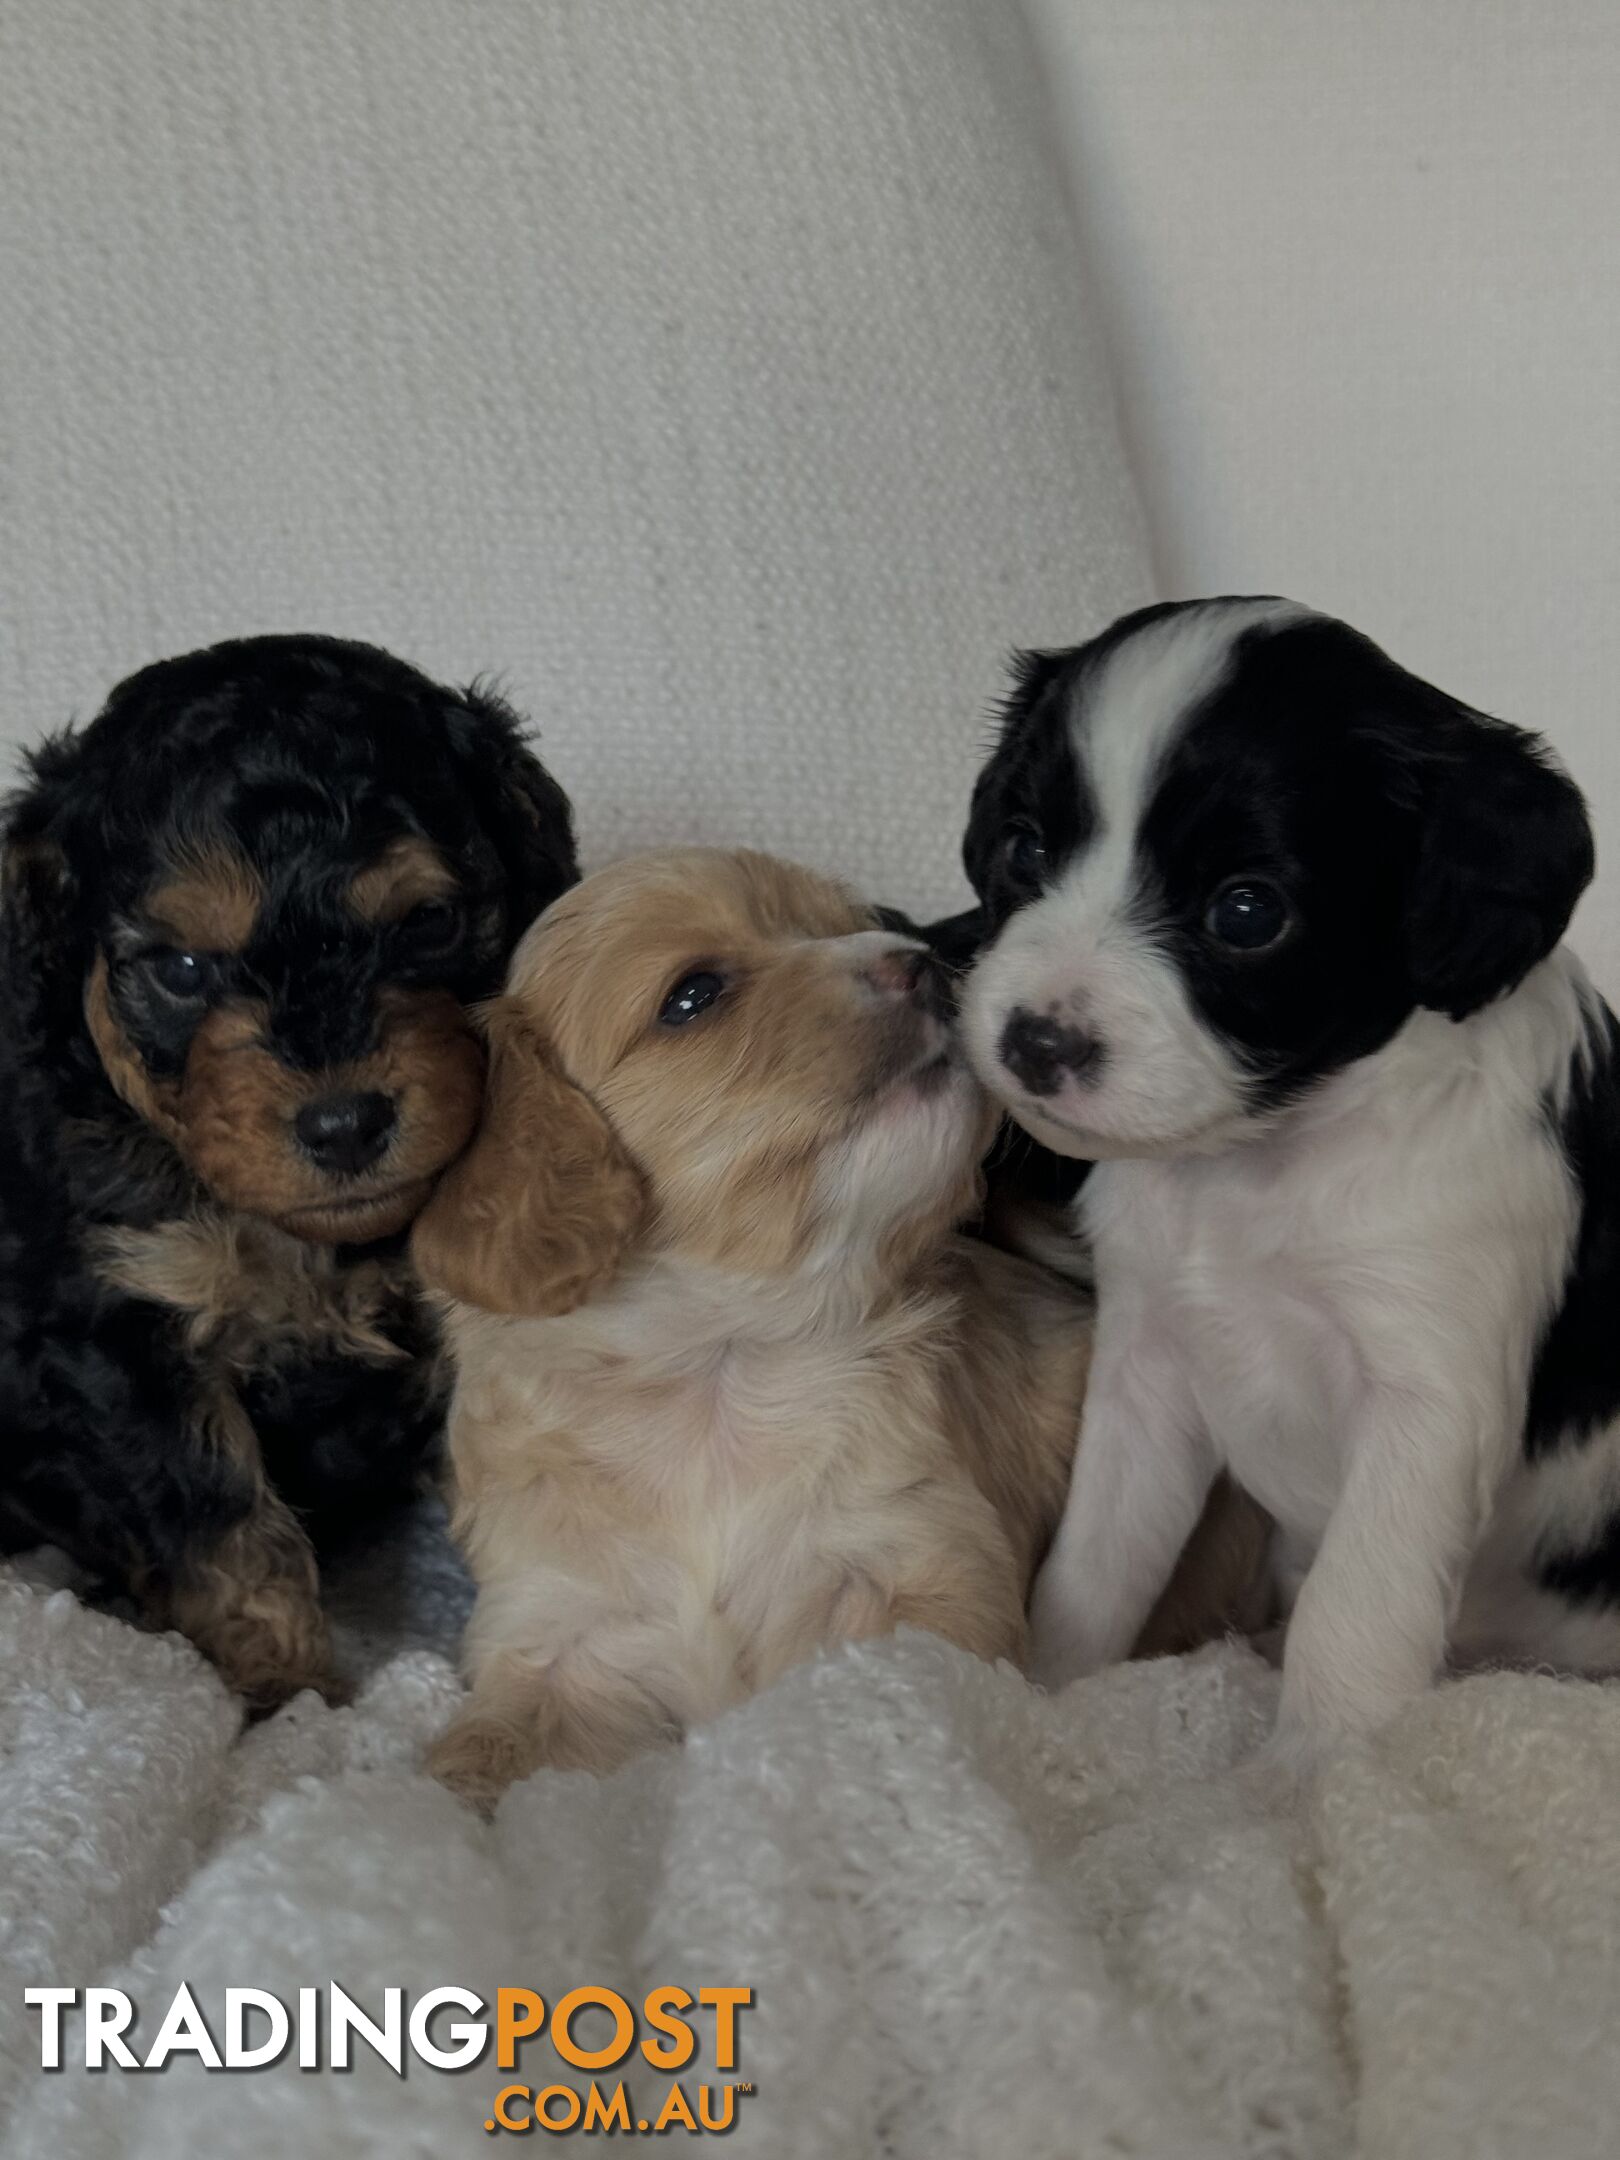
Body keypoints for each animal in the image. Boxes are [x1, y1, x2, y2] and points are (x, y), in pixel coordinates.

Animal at [0, 630, 583, 1702]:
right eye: (181, 969)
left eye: (426, 921)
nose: (344, 1122)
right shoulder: (119, 1337)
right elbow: (224, 1530)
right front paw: (292, 1693)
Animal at [959, 600, 1615, 1762]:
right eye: (1024, 846)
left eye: (1246, 912)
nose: (1034, 1041)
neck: (1262, 1163)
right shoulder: (1147, 1362)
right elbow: (1096, 1561)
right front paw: (1054, 1701)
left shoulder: (1426, 1406)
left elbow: (1351, 1621)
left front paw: (1319, 1780)